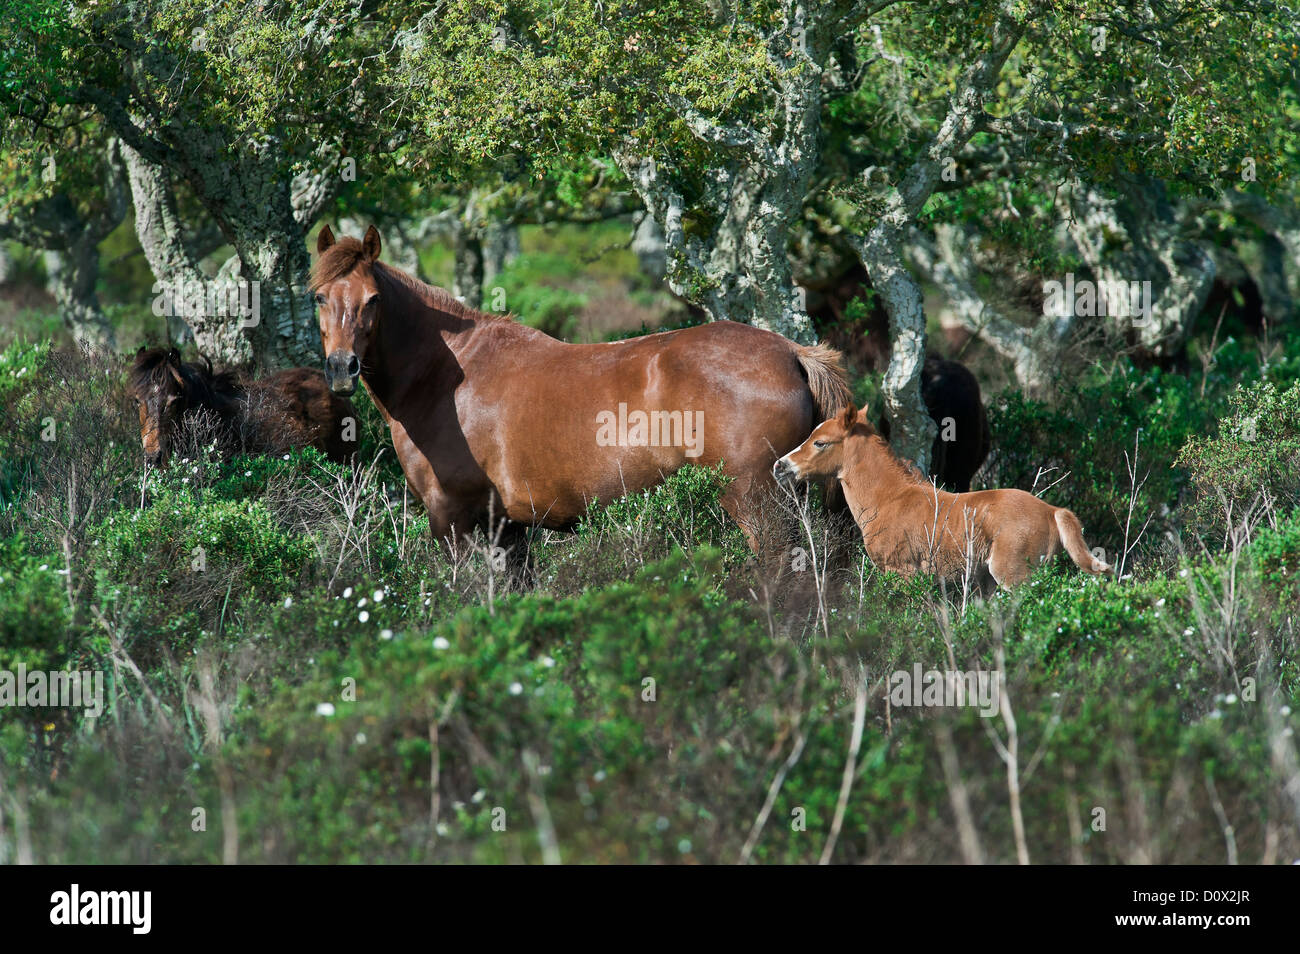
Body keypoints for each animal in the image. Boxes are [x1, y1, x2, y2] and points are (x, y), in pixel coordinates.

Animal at [308, 224, 847, 548]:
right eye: (318, 297)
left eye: (373, 299)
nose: (342, 369)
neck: (446, 381)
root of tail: (792, 352)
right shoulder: (507, 528)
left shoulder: (451, 519)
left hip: (755, 505)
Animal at [769, 400, 1107, 587]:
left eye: (820, 442)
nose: (780, 466)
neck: (889, 499)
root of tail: (1053, 511)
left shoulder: (902, 571)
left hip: (1013, 574)